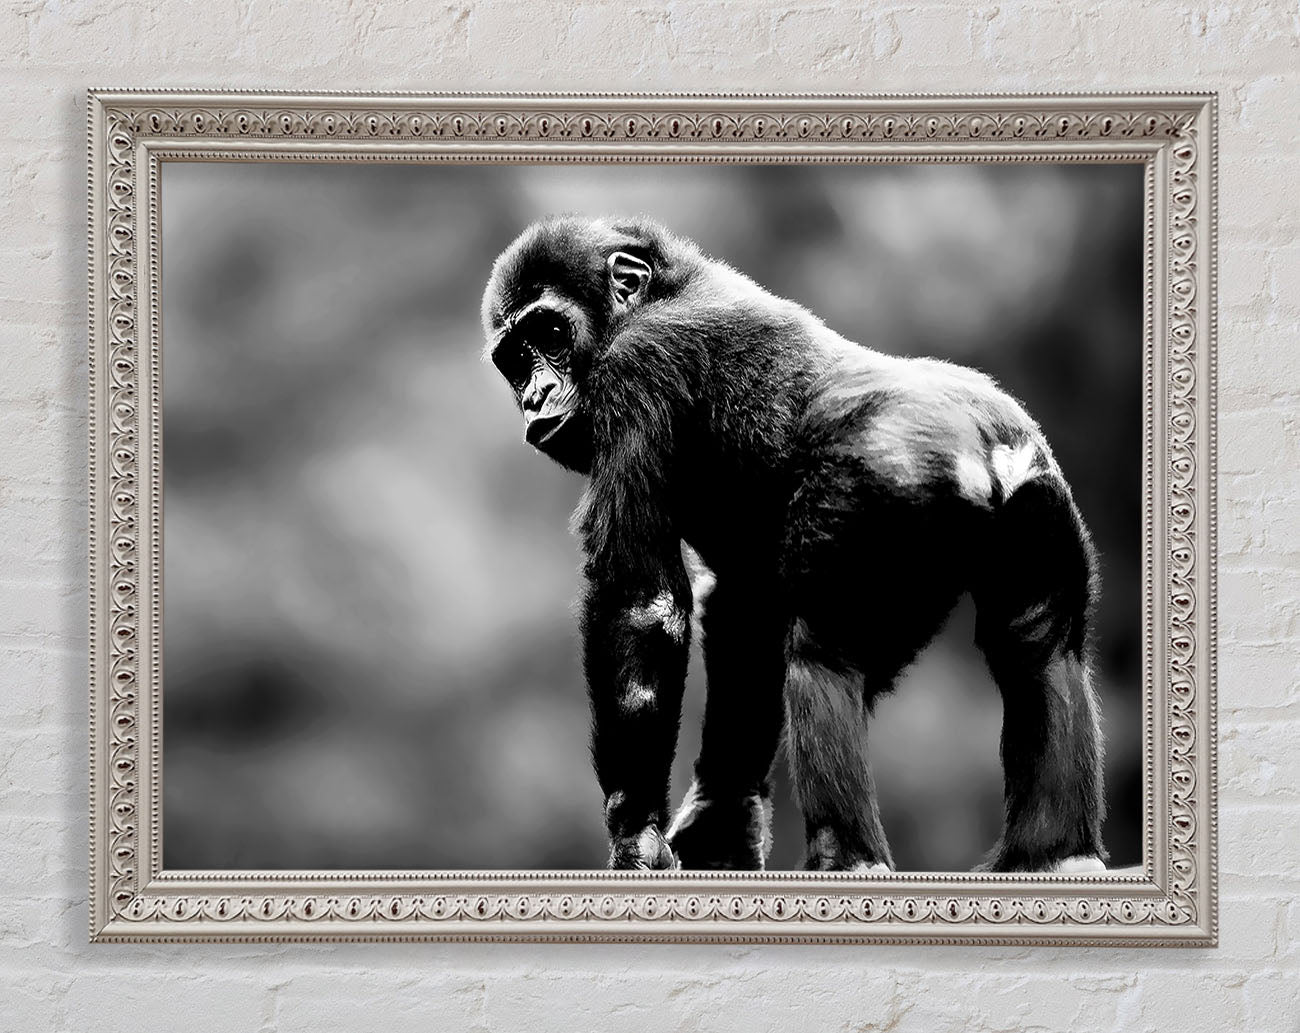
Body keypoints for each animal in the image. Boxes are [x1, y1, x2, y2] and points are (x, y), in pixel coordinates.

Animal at [480, 215, 1107, 874]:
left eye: (549, 334)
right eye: (515, 361)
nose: (535, 395)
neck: (658, 293)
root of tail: (984, 445)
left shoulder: (637, 367)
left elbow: (640, 604)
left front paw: (635, 831)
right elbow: (746, 616)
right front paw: (720, 822)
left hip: (882, 487)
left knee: (824, 654)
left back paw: (849, 857)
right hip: (1037, 496)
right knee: (1037, 646)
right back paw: (1055, 856)